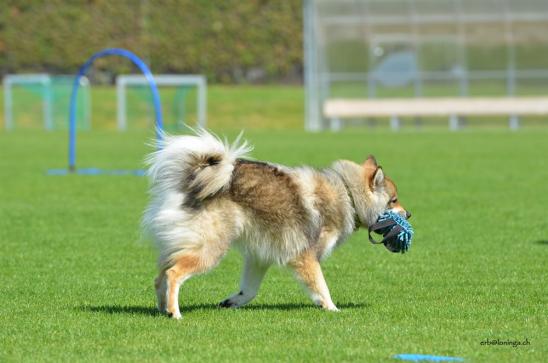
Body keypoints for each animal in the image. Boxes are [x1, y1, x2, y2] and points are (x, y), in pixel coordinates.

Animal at [143, 131, 408, 318]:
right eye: (394, 200)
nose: (410, 213)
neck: (347, 193)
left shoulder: (259, 257)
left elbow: (249, 290)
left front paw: (232, 302)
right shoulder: (306, 257)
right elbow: (322, 287)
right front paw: (332, 309)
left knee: (160, 277)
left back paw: (163, 310)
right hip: (209, 249)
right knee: (174, 273)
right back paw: (175, 313)